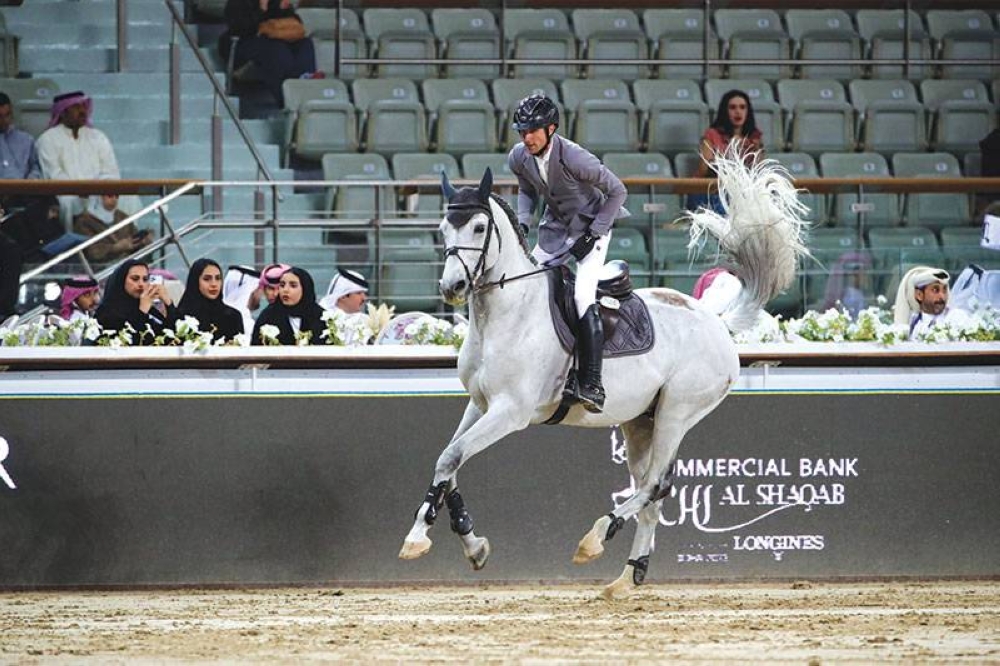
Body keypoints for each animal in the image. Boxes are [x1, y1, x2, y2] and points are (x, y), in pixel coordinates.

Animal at [399, 148, 810, 599]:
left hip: (677, 412)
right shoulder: (479, 404)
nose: (452, 287)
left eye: (478, 226)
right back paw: (628, 576)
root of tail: (714, 320)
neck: (505, 313)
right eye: (443, 228)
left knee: (655, 485)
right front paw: (471, 545)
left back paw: (595, 538)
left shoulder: (511, 411)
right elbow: (448, 461)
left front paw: (418, 537)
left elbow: (453, 457)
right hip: (641, 422)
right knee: (653, 493)